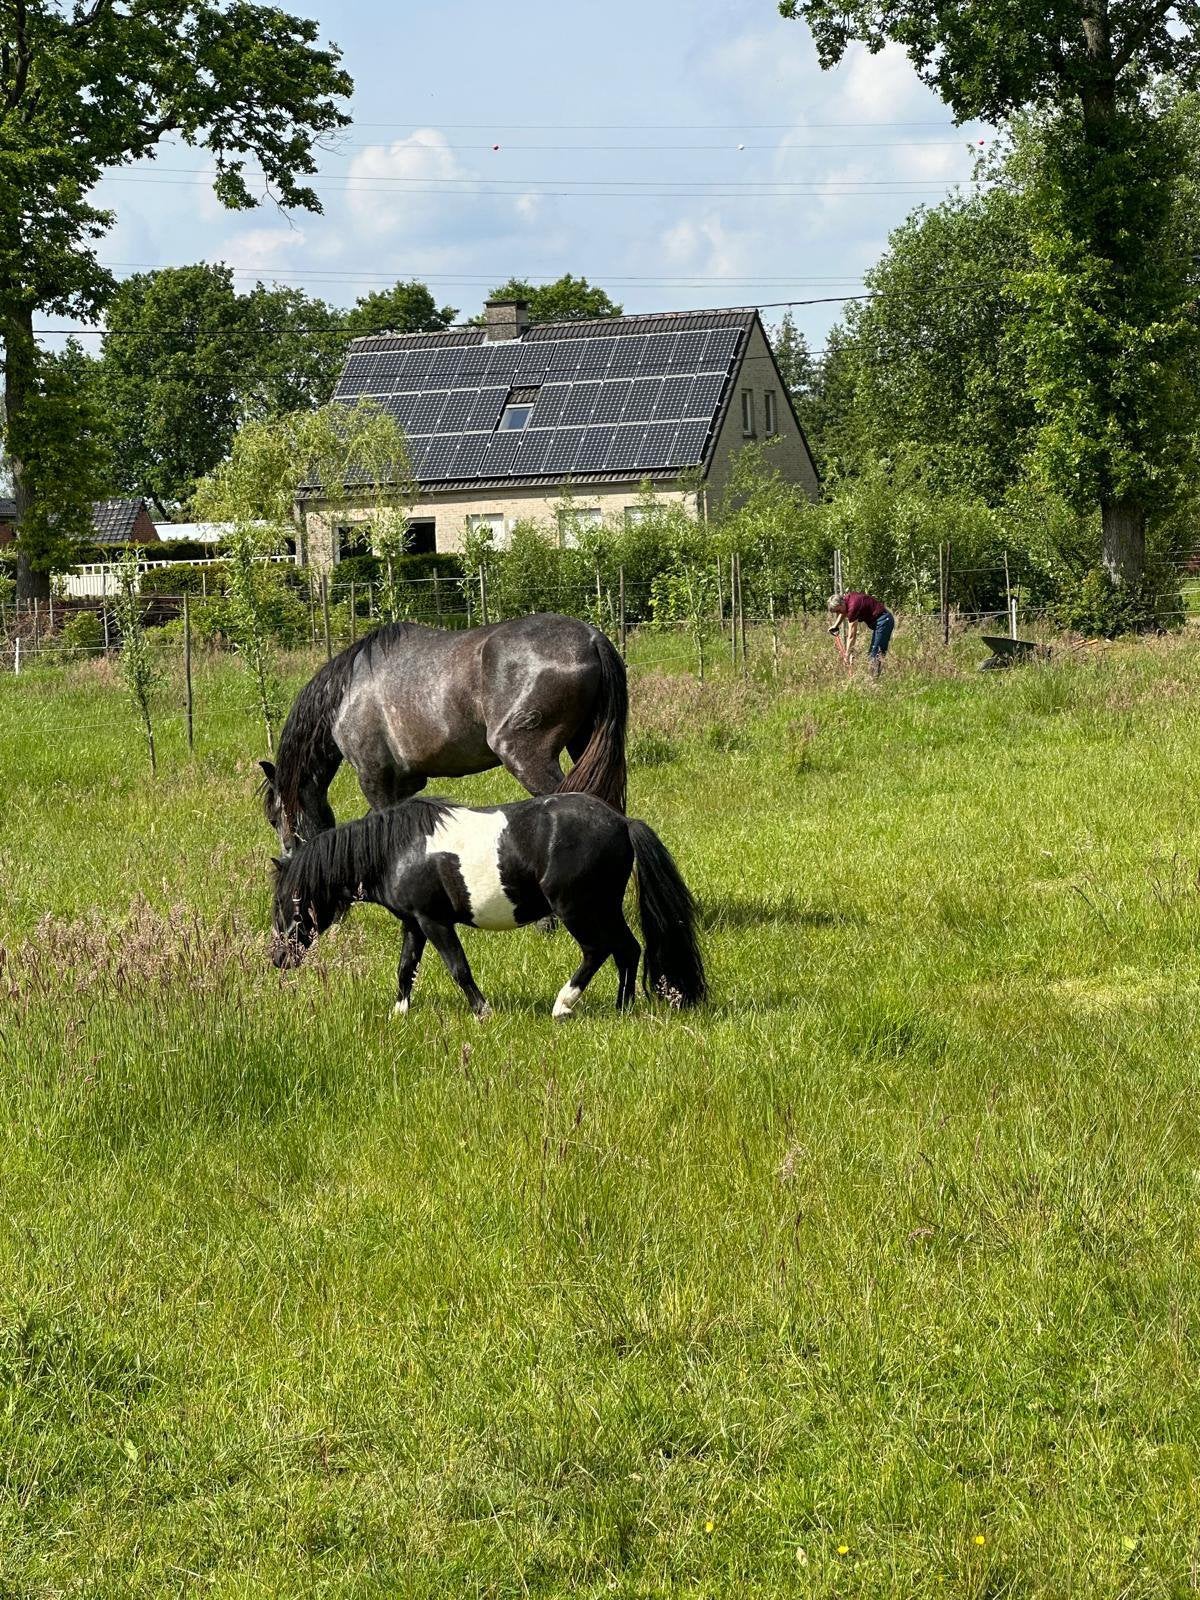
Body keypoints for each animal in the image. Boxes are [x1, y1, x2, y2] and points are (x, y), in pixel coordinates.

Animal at [258, 613, 627, 857]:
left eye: (275, 818)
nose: (289, 855)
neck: (347, 692)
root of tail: (592, 639)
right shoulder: (405, 784)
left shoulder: (374, 778)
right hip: (584, 747)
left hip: (525, 757)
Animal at [268, 791, 706, 1020]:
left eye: (288, 902)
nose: (278, 958)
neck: (397, 849)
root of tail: (622, 822)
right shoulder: (413, 923)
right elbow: (406, 969)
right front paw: (399, 1013)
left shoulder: (434, 921)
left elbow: (458, 968)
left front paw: (483, 1012)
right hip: (605, 908)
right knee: (628, 949)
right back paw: (622, 1008)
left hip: (577, 909)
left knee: (598, 950)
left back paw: (563, 1005)